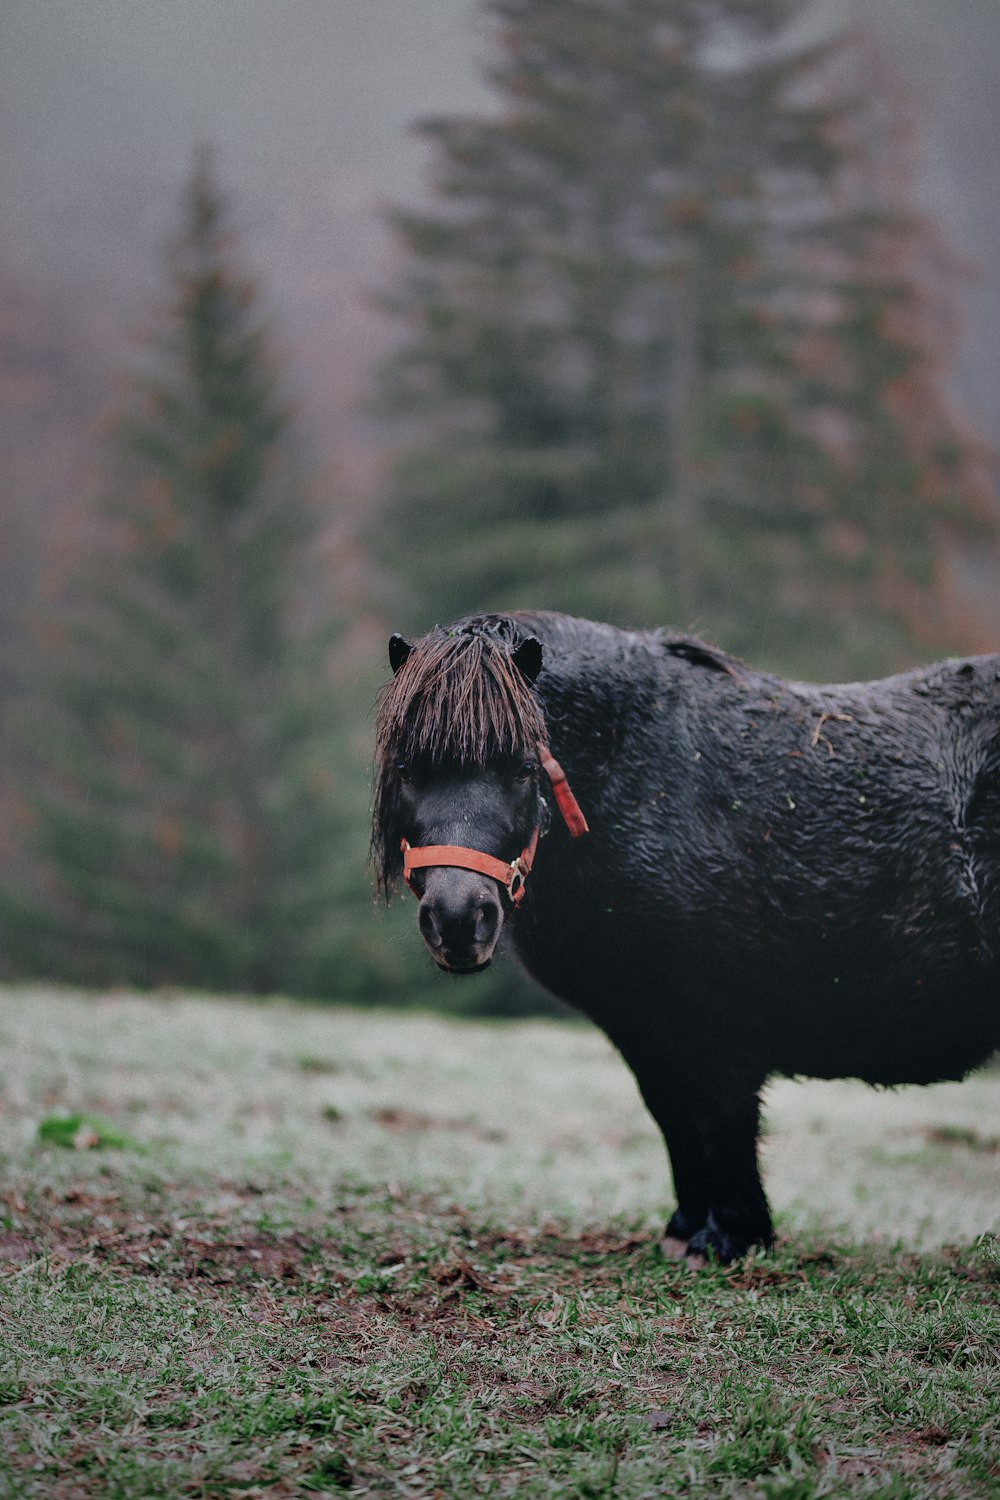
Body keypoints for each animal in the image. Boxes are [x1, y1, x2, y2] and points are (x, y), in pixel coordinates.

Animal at [371, 615, 995, 1260]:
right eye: (407, 770)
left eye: (523, 768)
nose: (457, 920)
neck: (643, 779)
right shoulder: (648, 1026)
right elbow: (676, 1120)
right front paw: (686, 1229)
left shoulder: (720, 1028)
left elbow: (723, 1121)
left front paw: (730, 1238)